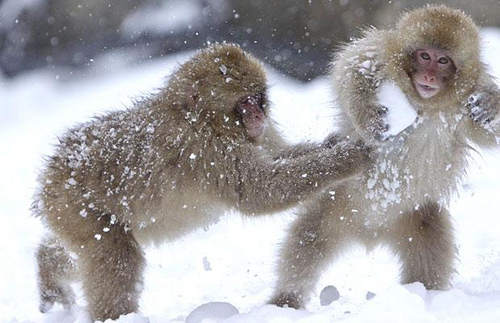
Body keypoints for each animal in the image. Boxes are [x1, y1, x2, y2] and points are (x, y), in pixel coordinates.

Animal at [31, 43, 368, 322]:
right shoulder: (206, 151)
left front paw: (330, 144)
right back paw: (114, 316)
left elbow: (277, 155)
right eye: (245, 103)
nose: (258, 117)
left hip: (71, 214)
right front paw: (348, 158)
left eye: (258, 99)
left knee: (82, 252)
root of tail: (52, 171)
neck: (204, 118)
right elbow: (260, 192)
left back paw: (48, 267)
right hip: (73, 204)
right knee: (115, 256)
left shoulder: (252, 137)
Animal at [270, 5, 500, 308]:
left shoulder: (465, 106)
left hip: (416, 215)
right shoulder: (379, 52)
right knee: (308, 240)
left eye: (443, 61)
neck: (422, 103)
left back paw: (425, 294)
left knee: (431, 249)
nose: (428, 77)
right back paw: (286, 299)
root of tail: (372, 233)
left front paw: (492, 103)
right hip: (335, 202)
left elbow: (489, 133)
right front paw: (371, 121)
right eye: (424, 56)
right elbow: (350, 67)